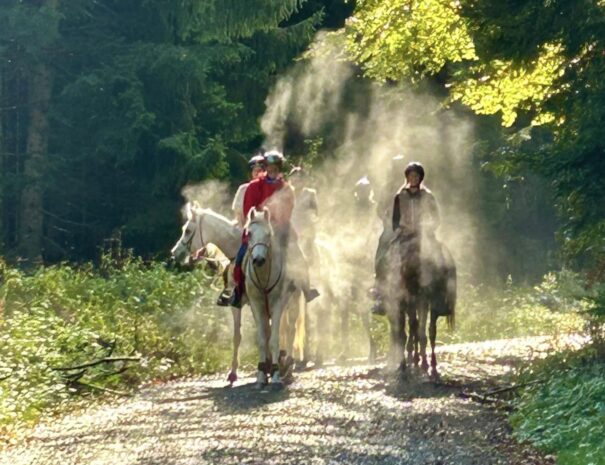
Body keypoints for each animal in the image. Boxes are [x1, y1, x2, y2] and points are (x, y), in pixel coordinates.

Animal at [245, 208, 292, 388]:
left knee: (289, 330)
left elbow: (274, 339)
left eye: (268, 234)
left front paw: (277, 374)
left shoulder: (278, 304)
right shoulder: (256, 305)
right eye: (249, 233)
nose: (258, 260)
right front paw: (261, 375)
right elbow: (262, 339)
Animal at [384, 234, 456, 378]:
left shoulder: (419, 303)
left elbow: (418, 331)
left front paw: (419, 362)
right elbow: (415, 330)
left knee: (417, 330)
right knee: (419, 330)